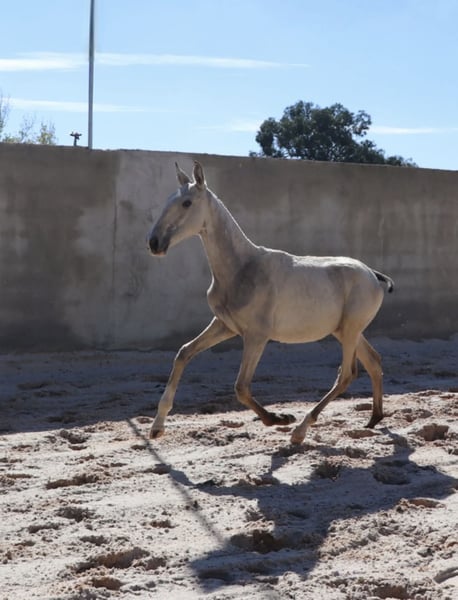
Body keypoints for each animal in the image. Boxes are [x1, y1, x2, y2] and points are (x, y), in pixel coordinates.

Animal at [148, 160, 394, 444]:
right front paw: (157, 427)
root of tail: (373, 275)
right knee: (373, 361)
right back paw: (374, 419)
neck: (242, 268)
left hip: (351, 331)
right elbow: (183, 353)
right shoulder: (225, 326)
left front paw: (278, 418)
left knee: (346, 375)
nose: (154, 243)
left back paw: (300, 430)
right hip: (345, 331)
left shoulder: (257, 336)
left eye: (187, 203)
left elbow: (241, 387)